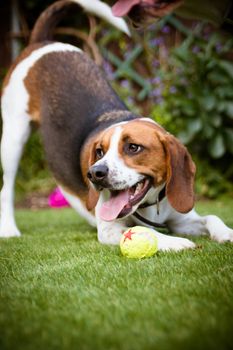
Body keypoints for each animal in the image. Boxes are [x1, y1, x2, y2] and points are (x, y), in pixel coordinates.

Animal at [0, 0, 233, 252]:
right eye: (99, 151)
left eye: (133, 147)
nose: (95, 173)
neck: (148, 205)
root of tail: (42, 43)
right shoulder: (110, 229)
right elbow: (143, 230)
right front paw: (176, 242)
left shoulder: (183, 218)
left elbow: (213, 218)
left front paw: (227, 233)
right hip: (13, 138)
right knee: (7, 188)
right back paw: (9, 229)